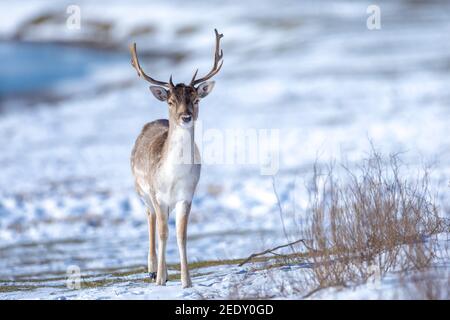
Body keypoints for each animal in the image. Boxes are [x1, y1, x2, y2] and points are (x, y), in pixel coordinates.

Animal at [128, 29, 223, 288]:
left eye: (196, 100)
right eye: (171, 101)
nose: (186, 116)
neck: (173, 176)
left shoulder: (187, 195)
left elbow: (181, 235)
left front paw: (186, 280)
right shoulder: (157, 194)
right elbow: (163, 233)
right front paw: (160, 278)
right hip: (142, 192)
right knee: (151, 220)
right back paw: (152, 270)